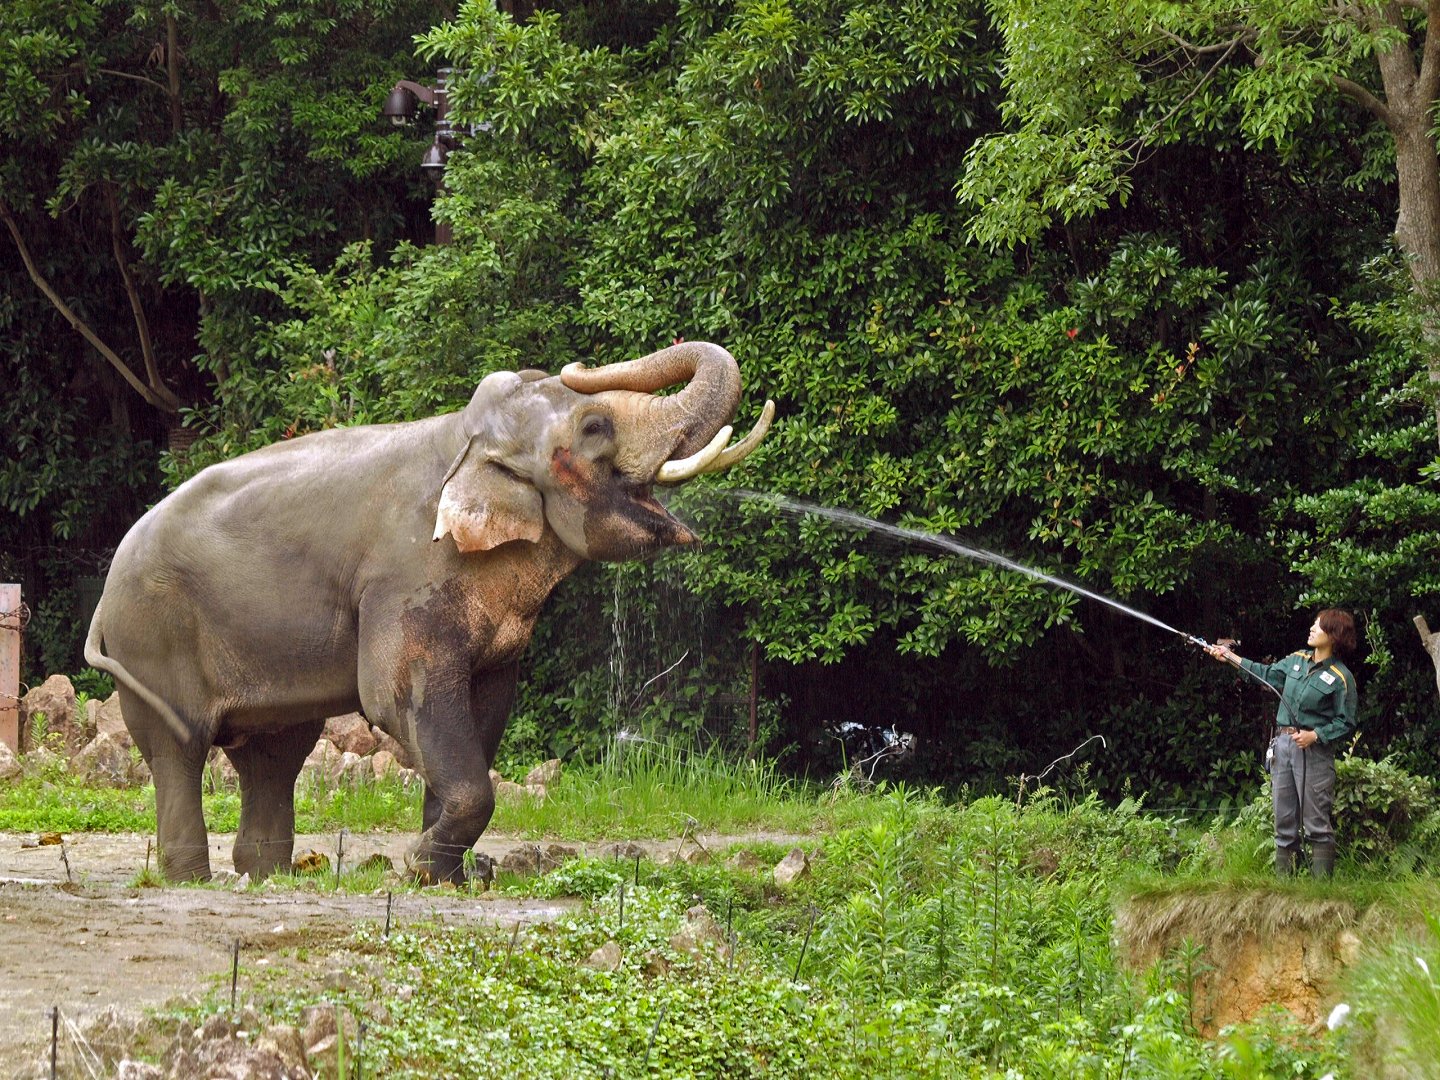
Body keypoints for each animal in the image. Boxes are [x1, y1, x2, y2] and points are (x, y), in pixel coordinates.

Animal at [85, 341, 773, 883]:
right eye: (596, 427)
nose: (573, 363)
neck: (463, 441)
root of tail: (105, 594)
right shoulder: (405, 578)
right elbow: (398, 699)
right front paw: (422, 867)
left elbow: (484, 710)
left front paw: (446, 875)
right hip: (151, 639)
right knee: (181, 746)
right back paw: (191, 879)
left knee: (276, 753)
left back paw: (268, 875)